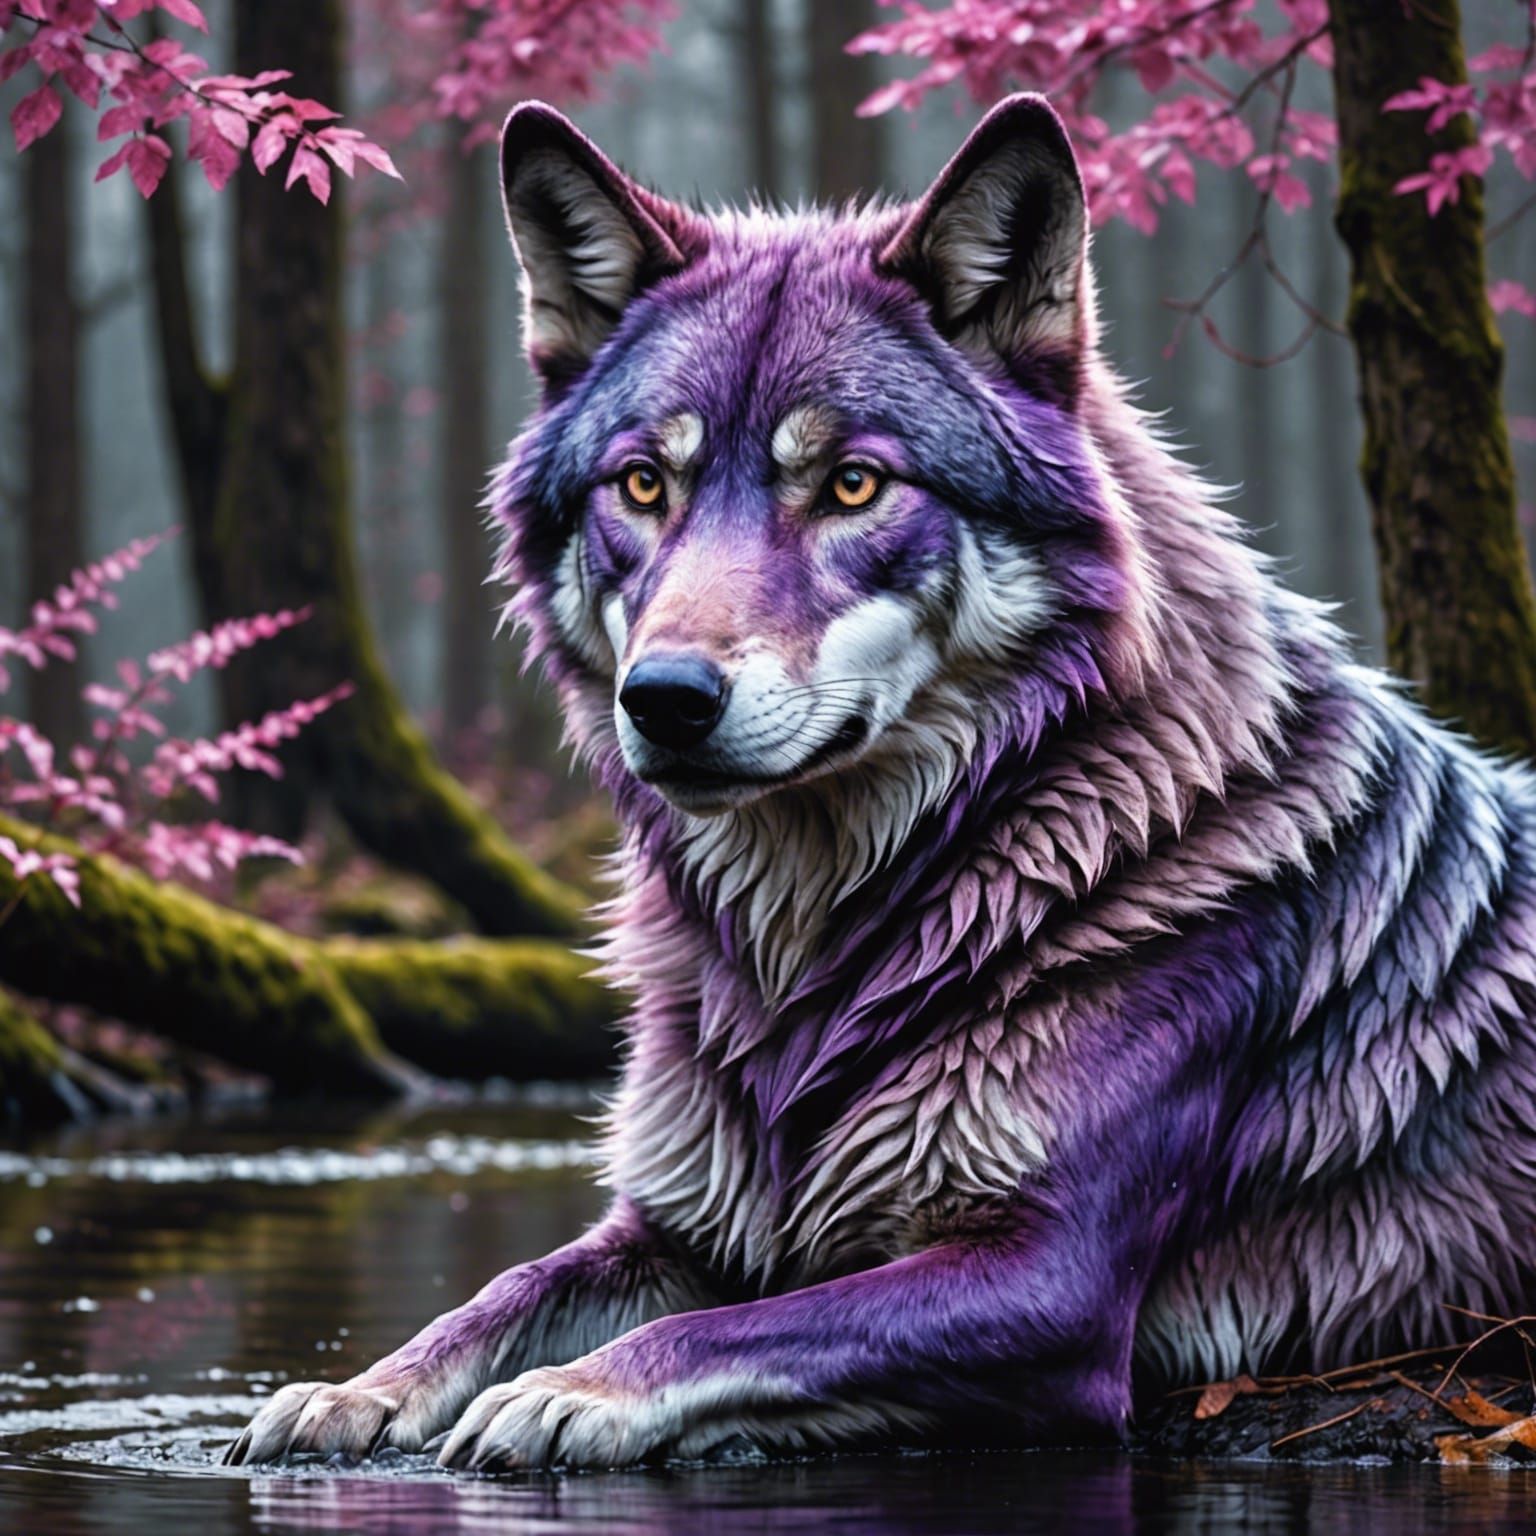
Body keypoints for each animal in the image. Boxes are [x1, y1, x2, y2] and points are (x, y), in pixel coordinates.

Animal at [228, 94, 1536, 1471]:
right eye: (645, 483)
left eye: (852, 483)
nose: (665, 699)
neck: (819, 955)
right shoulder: (679, 1222)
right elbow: (502, 1292)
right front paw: (356, 1390)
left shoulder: (1045, 1281)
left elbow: (730, 1333)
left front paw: (572, 1391)